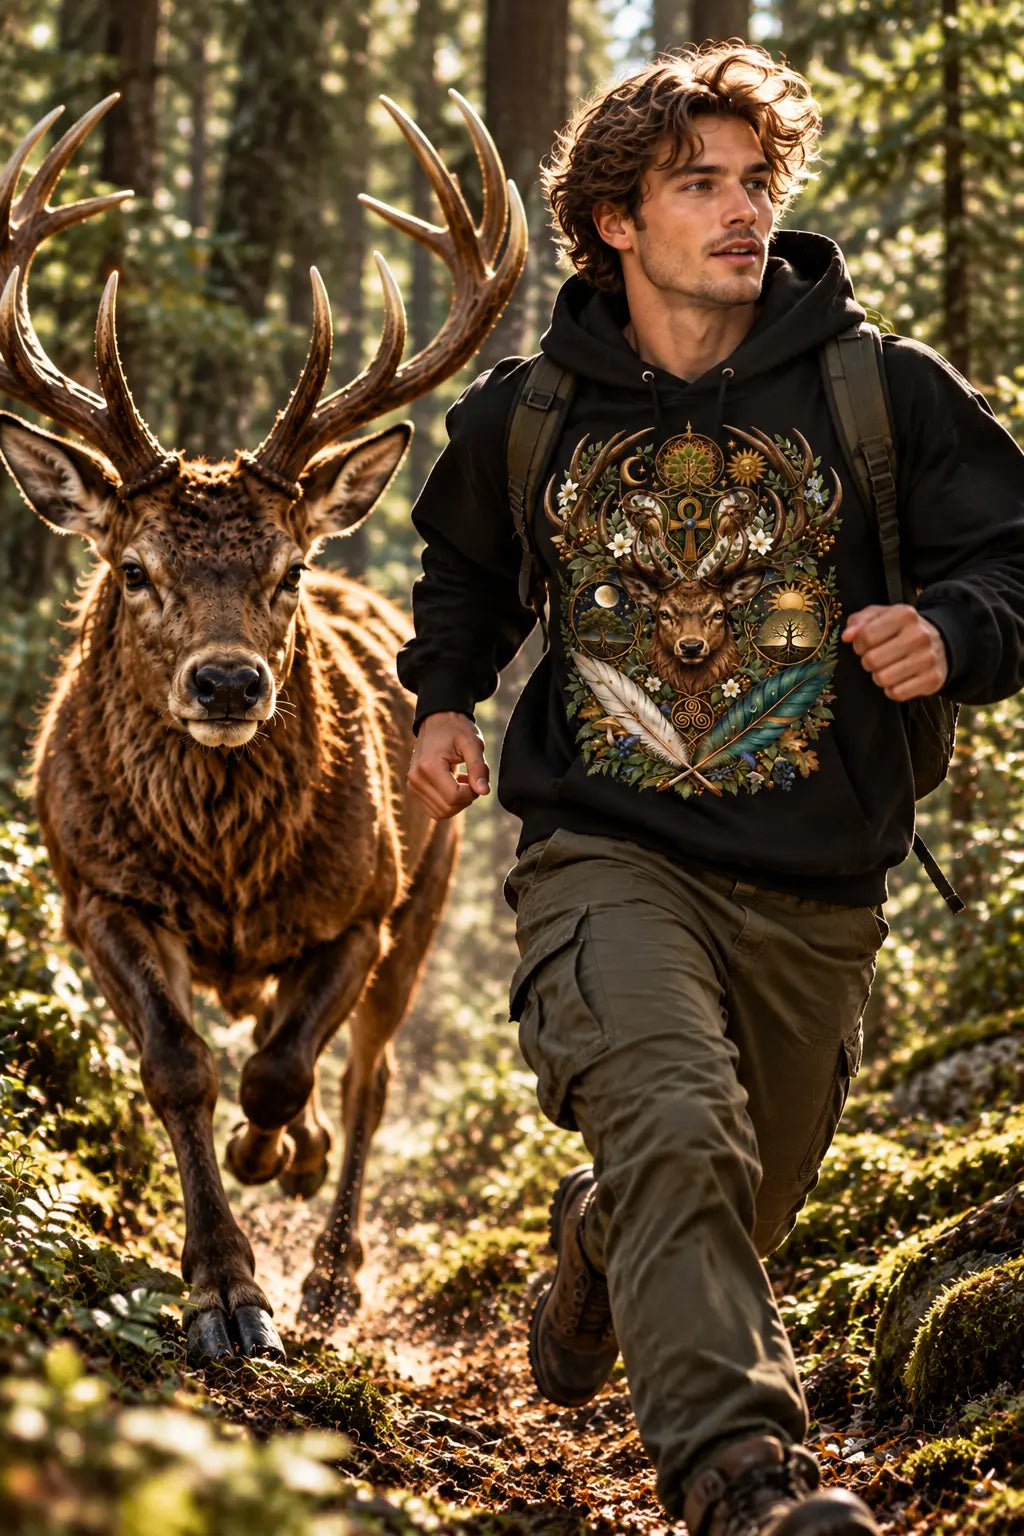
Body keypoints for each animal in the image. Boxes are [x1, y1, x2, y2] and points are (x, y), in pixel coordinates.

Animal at [0, 95, 526, 1366]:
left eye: (288, 570)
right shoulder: (94, 887)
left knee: (369, 1074)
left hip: (430, 886)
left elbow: (286, 1068)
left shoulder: (366, 900)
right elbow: (179, 1069)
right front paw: (224, 1293)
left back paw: (332, 1268)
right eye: (133, 569)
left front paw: (275, 1158)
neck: (228, 868)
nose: (230, 683)